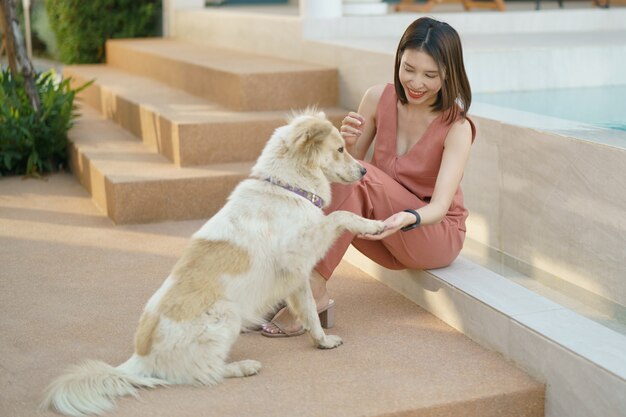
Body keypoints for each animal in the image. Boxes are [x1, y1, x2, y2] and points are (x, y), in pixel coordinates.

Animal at [41, 110, 386, 416]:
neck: (285, 187)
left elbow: (311, 312)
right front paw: (373, 225)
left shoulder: (296, 275)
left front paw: (321, 341)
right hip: (227, 315)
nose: (364, 172)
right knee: (205, 374)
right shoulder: (298, 253)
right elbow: (341, 215)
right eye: (340, 149)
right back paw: (242, 367)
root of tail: (139, 359)